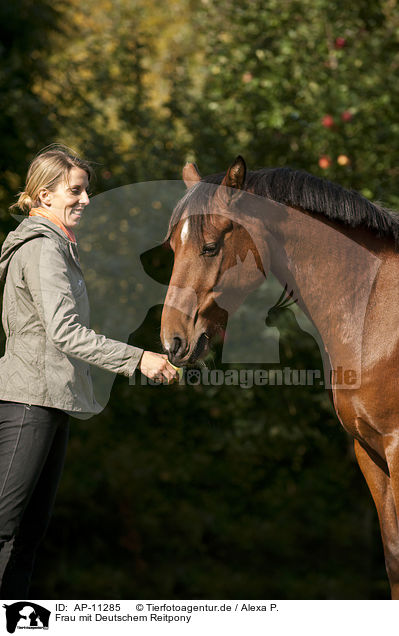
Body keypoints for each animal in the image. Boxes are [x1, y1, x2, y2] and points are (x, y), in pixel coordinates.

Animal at [161, 157, 399, 600]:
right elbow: (393, 556)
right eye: (173, 247)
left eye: (210, 247)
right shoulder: (370, 451)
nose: (173, 341)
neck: (374, 307)